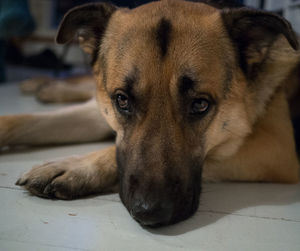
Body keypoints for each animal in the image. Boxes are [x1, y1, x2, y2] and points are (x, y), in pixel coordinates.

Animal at [0, 0, 300, 226]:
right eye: (122, 100)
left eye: (200, 104)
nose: (150, 212)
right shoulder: (102, 109)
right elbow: (18, 121)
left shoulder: (274, 148)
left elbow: (110, 150)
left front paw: (75, 167)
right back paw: (41, 85)